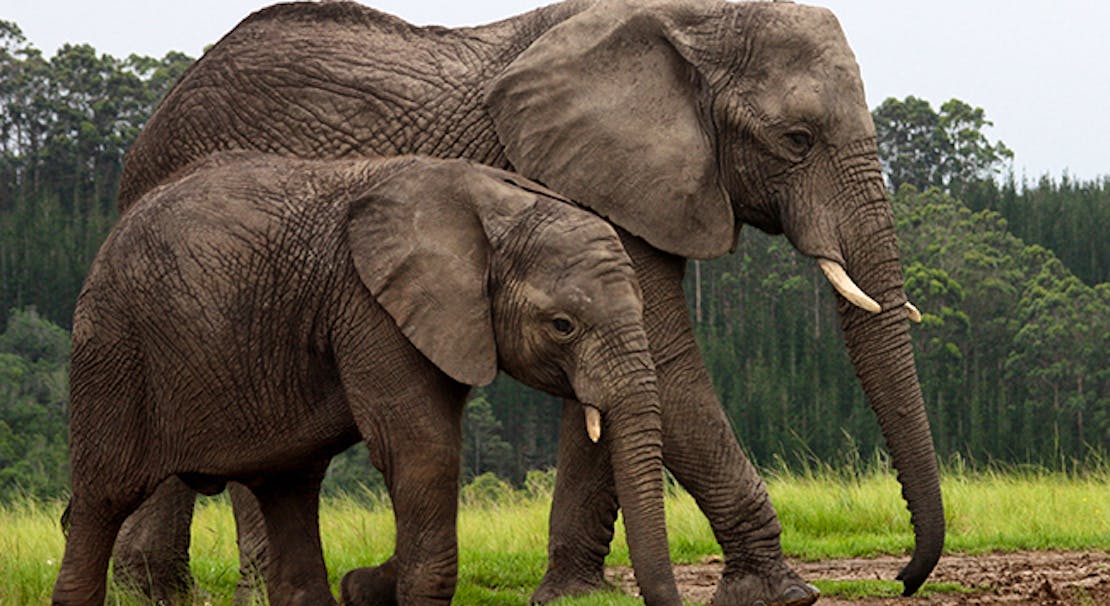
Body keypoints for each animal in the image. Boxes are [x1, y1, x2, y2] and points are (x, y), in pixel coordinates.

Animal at [56, 152, 679, 603]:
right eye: (562, 326)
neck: (497, 203)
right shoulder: (371, 307)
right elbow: (422, 450)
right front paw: (377, 585)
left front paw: (362, 586)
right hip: (112, 345)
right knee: (102, 498)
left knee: (289, 489)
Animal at [114, 2, 945, 599]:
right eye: (797, 139)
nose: (904, 578)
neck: (691, 19)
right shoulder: (584, 179)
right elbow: (666, 362)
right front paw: (782, 594)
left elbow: (615, 380)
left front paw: (575, 594)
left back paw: (156, 587)